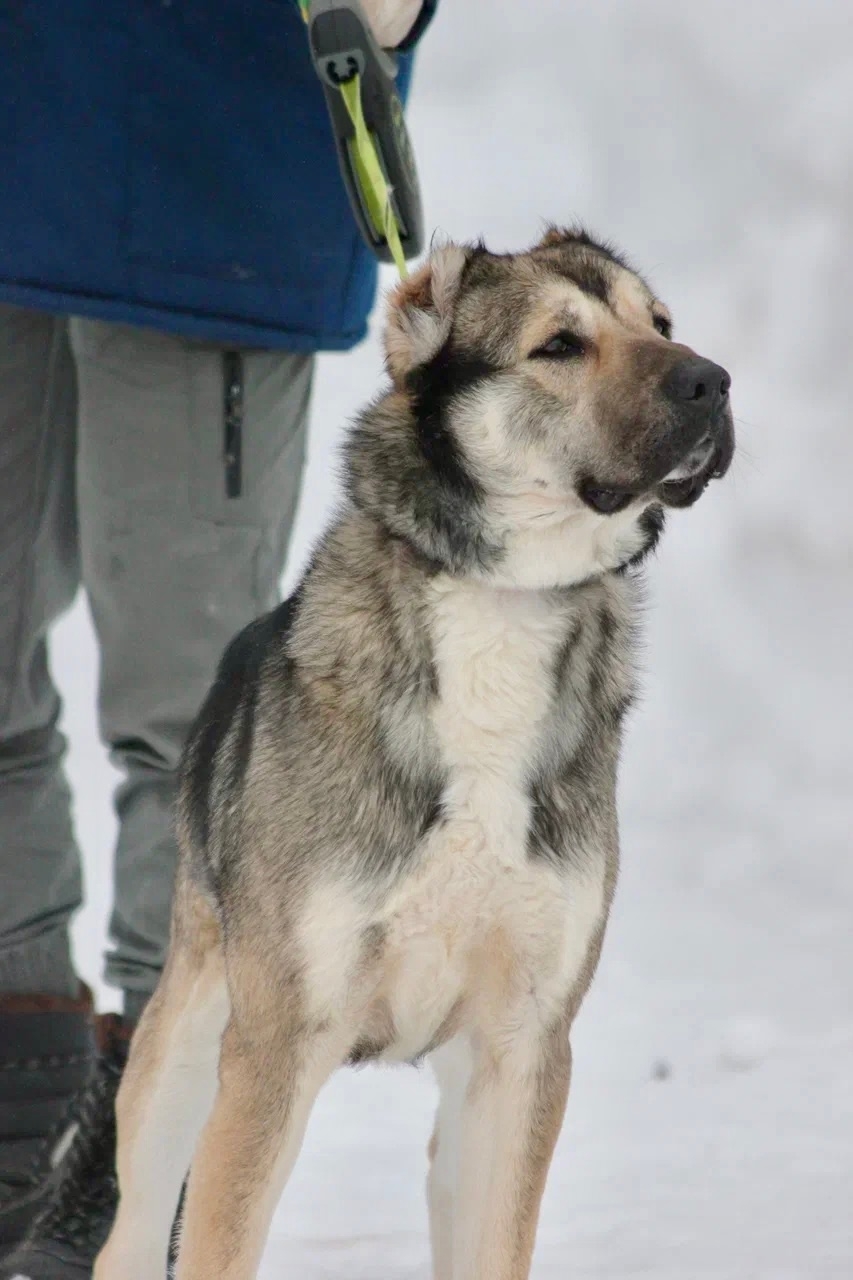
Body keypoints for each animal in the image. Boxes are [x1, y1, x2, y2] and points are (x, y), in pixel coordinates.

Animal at [95, 227, 734, 1280]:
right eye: (560, 345)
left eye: (661, 322)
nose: (713, 381)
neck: (503, 606)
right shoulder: (277, 1046)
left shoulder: (525, 1048)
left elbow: (498, 1245)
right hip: (184, 1049)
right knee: (138, 1226)